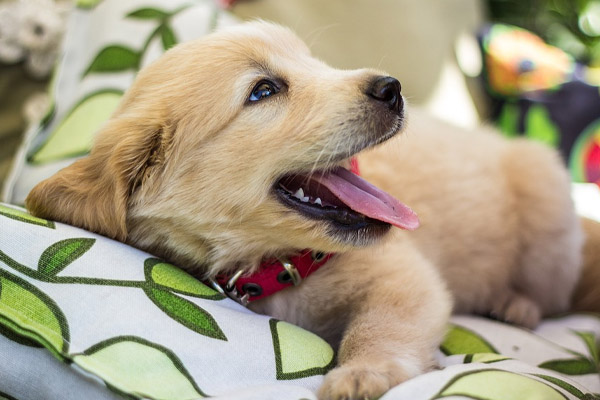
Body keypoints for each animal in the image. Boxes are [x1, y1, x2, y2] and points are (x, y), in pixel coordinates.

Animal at [27, 22, 584, 400]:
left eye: (313, 62)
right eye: (264, 90)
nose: (393, 88)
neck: (282, 265)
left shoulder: (404, 275)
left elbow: (381, 325)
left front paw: (364, 372)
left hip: (548, 215)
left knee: (553, 294)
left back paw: (515, 304)